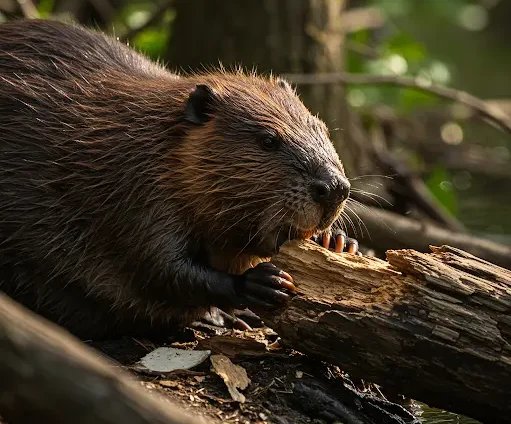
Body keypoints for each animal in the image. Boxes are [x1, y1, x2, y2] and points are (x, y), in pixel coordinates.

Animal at [0, 19, 360, 340]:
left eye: (321, 127)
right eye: (268, 140)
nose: (335, 189)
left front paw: (337, 241)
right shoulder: (135, 191)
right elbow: (159, 267)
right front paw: (259, 283)